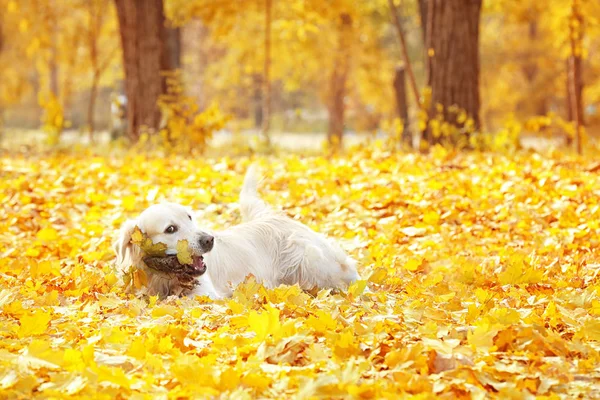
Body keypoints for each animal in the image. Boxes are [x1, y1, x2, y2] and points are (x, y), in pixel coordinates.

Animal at [112, 164, 358, 298]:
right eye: (171, 229)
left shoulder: (205, 294)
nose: (209, 239)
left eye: (189, 217)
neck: (163, 276)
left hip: (312, 261)